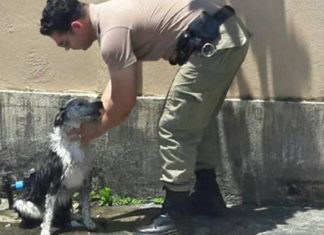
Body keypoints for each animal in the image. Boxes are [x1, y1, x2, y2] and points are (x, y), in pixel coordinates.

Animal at [13, 97, 102, 235]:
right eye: (80, 103)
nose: (100, 103)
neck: (74, 144)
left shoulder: (85, 182)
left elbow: (86, 207)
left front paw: (89, 223)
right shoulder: (53, 185)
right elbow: (49, 213)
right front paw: (45, 231)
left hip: (67, 199)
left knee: (64, 215)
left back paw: (73, 219)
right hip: (20, 203)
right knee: (43, 217)